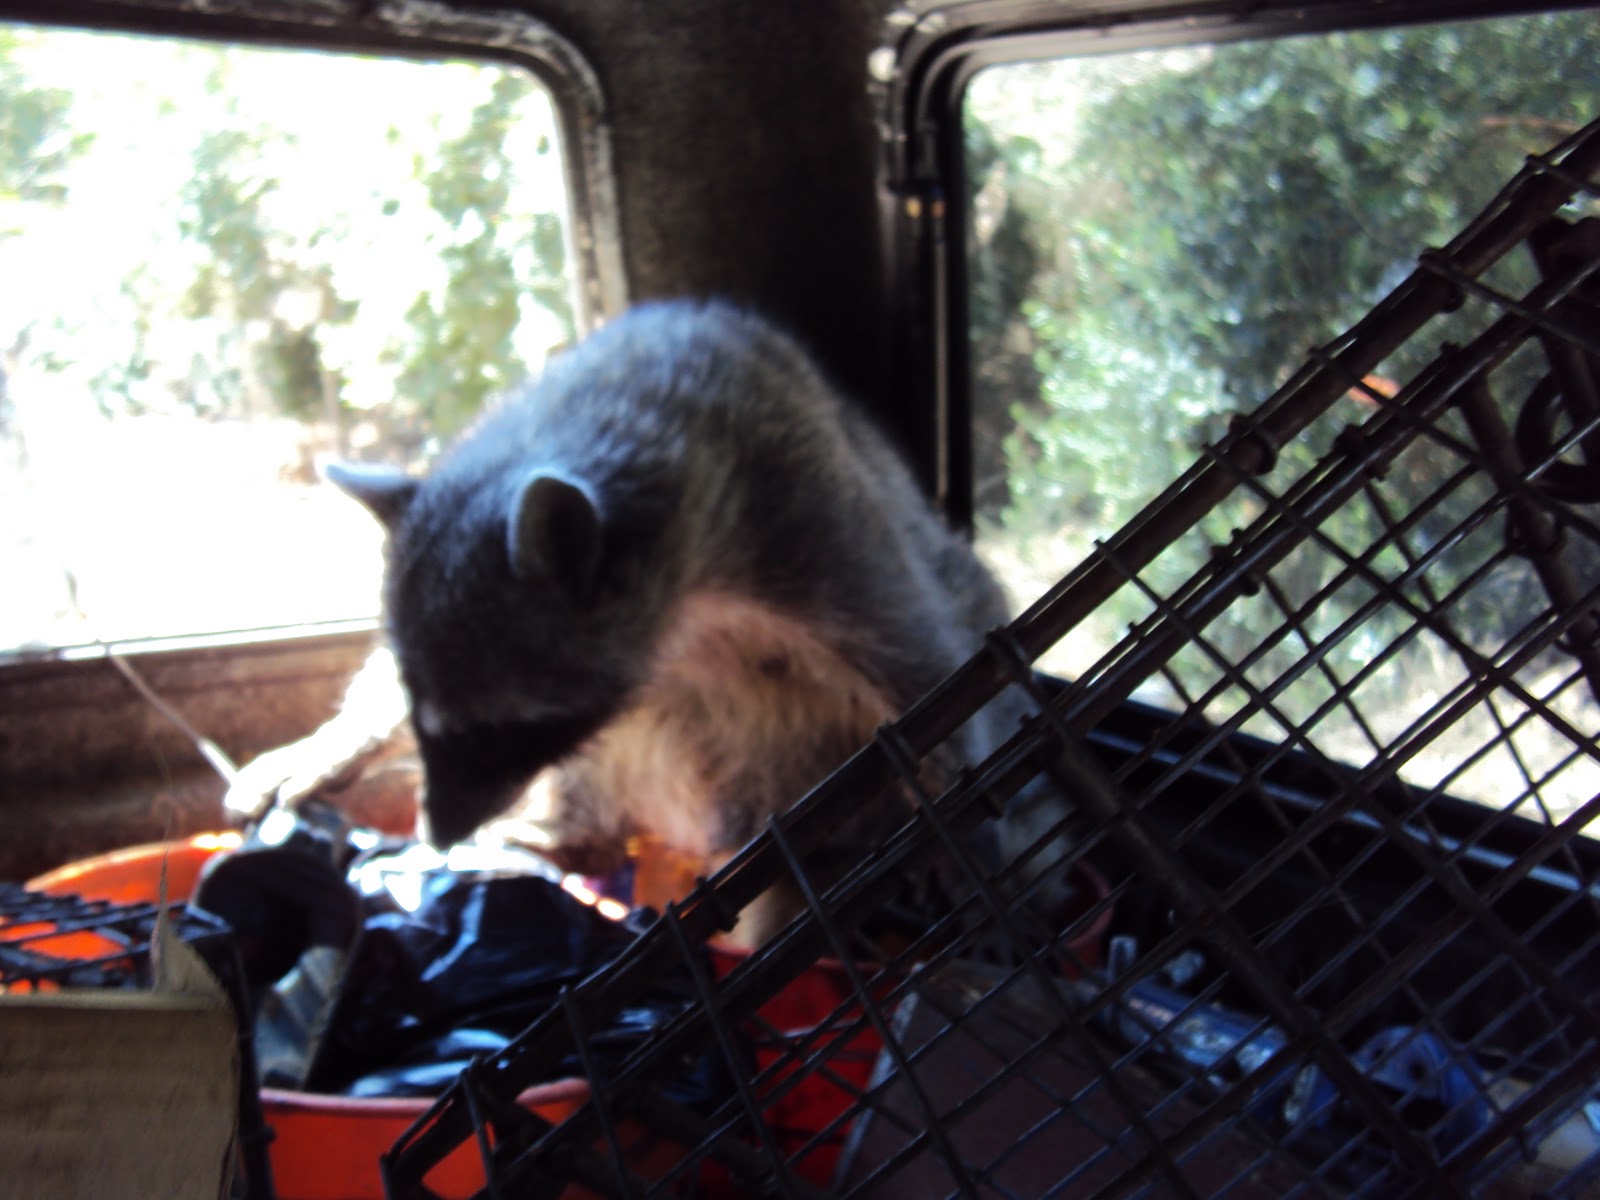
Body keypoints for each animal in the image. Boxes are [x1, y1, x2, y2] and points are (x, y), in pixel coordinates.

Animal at [299, 300, 1058, 942]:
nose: (437, 832)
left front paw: (973, 826)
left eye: (492, 731)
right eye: (421, 712)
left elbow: (934, 670)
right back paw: (563, 834)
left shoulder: (808, 518)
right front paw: (344, 738)